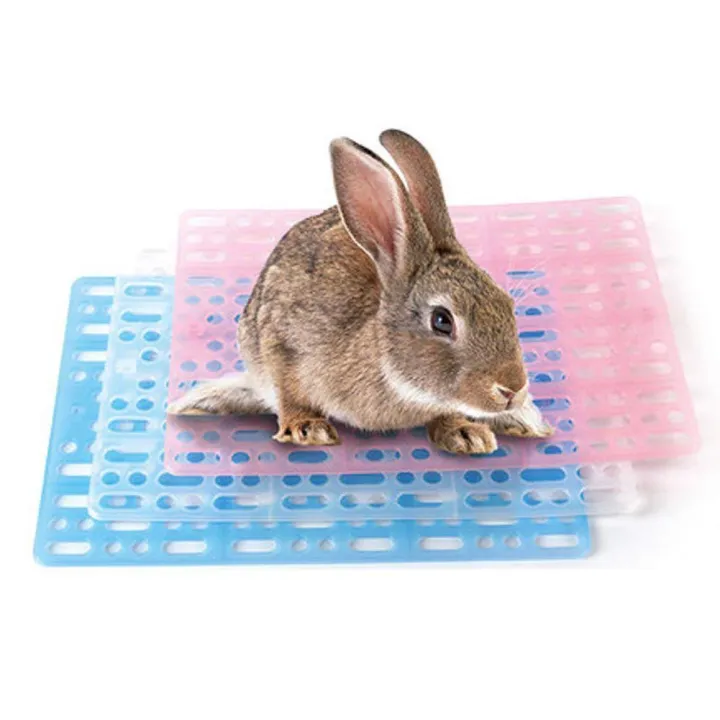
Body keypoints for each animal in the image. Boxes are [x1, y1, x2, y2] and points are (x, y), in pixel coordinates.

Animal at [167, 130, 552, 454]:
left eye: (507, 305)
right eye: (442, 321)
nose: (512, 389)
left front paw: (465, 433)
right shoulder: (280, 341)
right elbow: (289, 393)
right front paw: (307, 429)